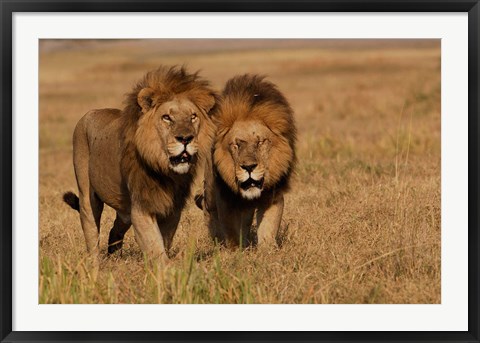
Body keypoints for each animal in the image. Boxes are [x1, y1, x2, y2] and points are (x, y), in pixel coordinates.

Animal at [62, 66, 217, 260]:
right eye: (167, 117)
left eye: (193, 116)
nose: (185, 138)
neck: (165, 170)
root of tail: (91, 112)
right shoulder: (141, 207)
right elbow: (154, 246)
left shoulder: (173, 208)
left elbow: (164, 241)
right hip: (87, 195)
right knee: (91, 229)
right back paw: (95, 262)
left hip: (123, 208)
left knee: (115, 229)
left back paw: (115, 257)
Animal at [196, 74, 296, 247]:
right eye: (236, 144)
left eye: (260, 142)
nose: (249, 167)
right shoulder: (225, 198)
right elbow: (231, 231)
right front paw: (235, 251)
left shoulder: (273, 195)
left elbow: (268, 228)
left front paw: (268, 250)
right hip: (209, 191)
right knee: (209, 212)